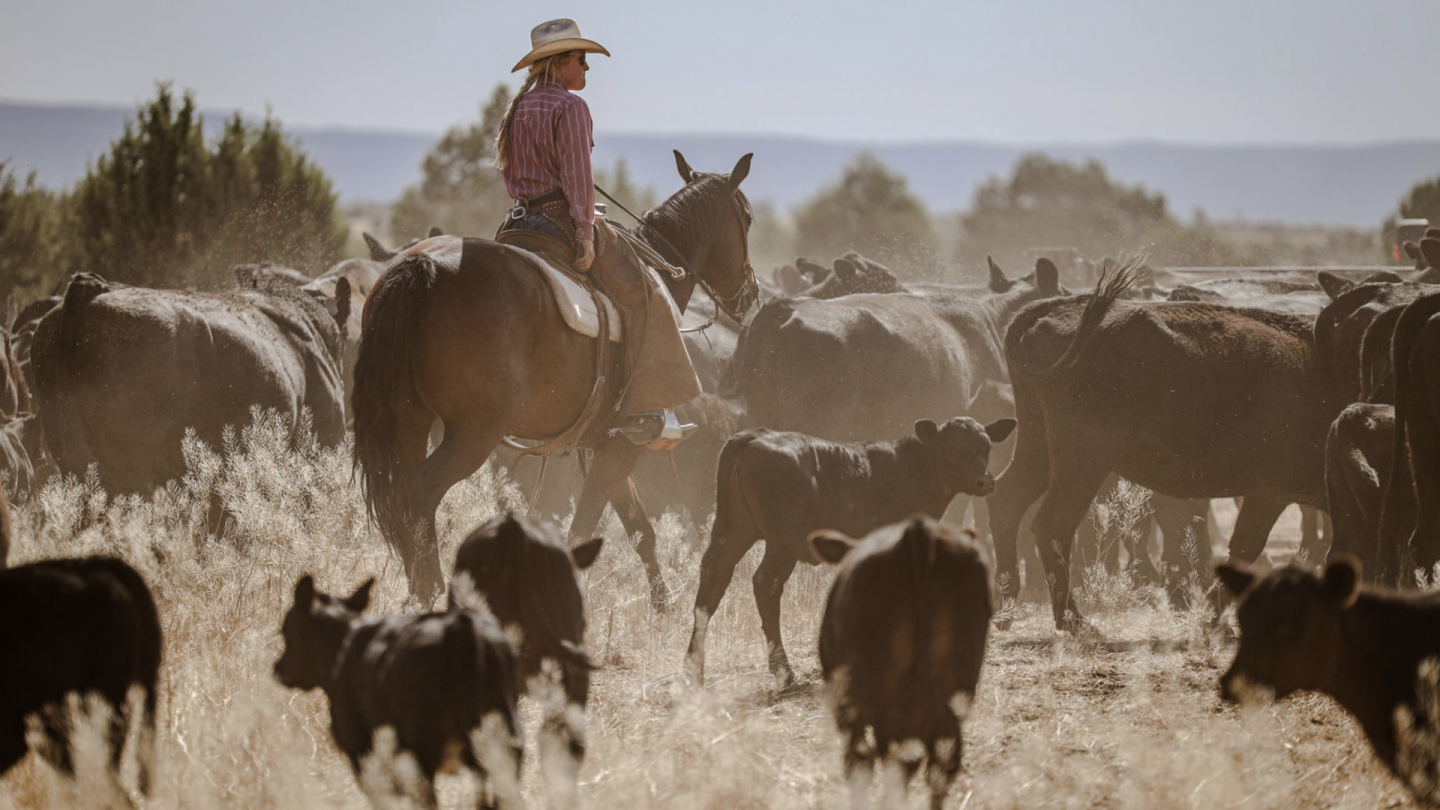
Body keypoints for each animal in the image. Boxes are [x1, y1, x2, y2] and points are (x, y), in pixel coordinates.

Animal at [353, 151, 759, 604]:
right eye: (747, 218)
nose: (750, 293)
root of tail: (419, 267)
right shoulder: (624, 446)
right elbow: (585, 529)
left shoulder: (606, 444)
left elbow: (640, 531)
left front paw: (663, 606)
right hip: (473, 434)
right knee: (421, 490)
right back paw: (431, 591)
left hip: (411, 420)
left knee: (399, 491)